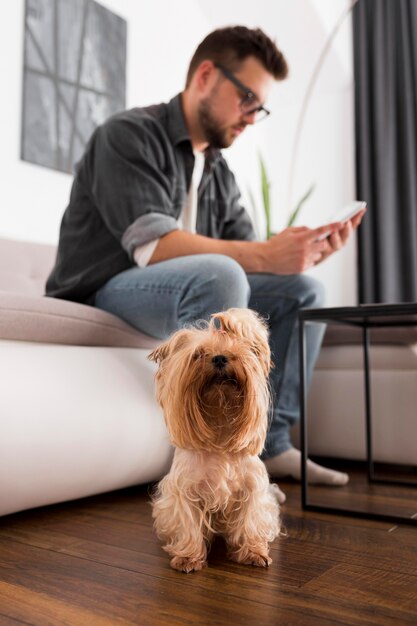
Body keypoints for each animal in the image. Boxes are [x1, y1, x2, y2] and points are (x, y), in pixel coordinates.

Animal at [148, 308, 282, 572]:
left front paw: (253, 552)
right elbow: (188, 524)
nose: (220, 358)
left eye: (237, 352)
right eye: (198, 354)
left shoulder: (252, 488)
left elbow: (250, 519)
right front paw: (188, 557)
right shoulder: (184, 490)